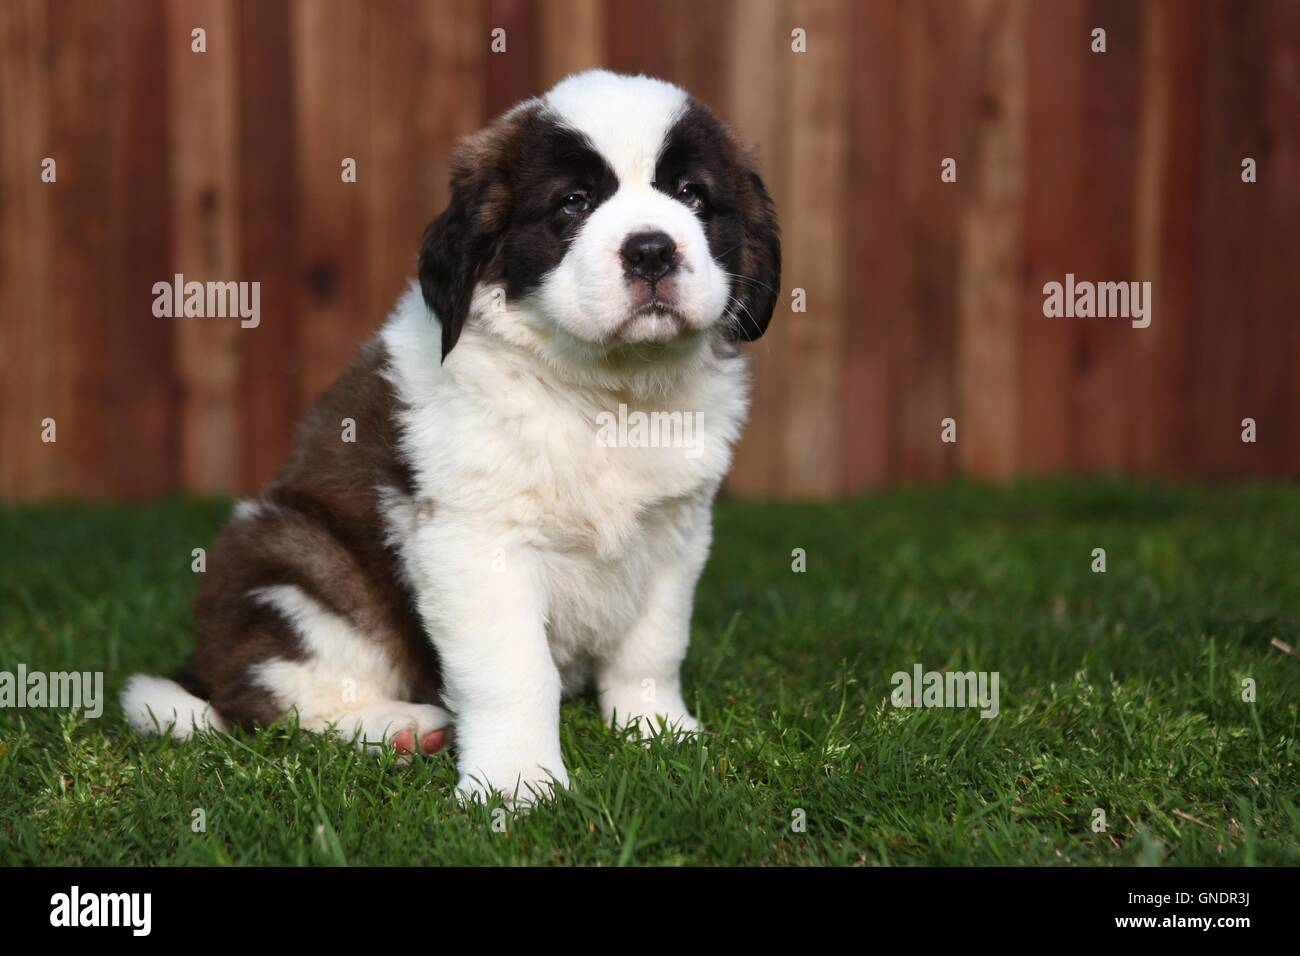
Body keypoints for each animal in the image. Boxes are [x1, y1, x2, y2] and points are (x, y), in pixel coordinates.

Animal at [126, 67, 780, 806]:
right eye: (574, 204)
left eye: (693, 195)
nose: (651, 249)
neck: (604, 390)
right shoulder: (475, 544)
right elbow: (514, 672)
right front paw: (518, 784)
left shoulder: (675, 531)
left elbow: (654, 644)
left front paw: (656, 729)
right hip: (301, 566)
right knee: (271, 696)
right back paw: (399, 728)